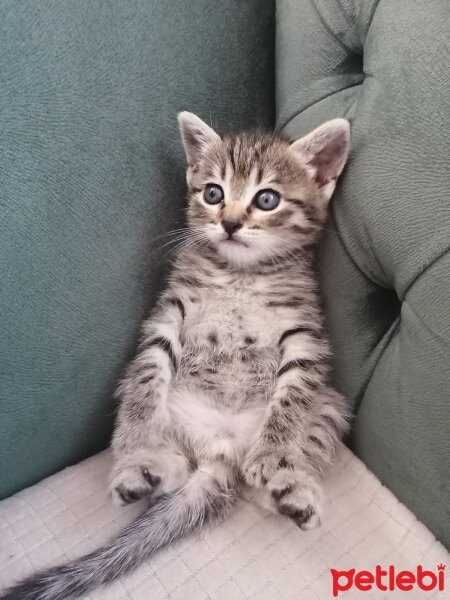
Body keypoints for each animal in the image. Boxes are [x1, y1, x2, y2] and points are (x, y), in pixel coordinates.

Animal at [2, 112, 352, 600]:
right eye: (213, 193)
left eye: (266, 199)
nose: (229, 223)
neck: (240, 272)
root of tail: (222, 449)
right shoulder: (168, 313)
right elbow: (149, 373)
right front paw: (137, 442)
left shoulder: (304, 335)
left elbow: (291, 400)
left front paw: (273, 454)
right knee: (173, 461)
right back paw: (145, 468)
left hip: (329, 407)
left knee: (265, 475)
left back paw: (288, 489)